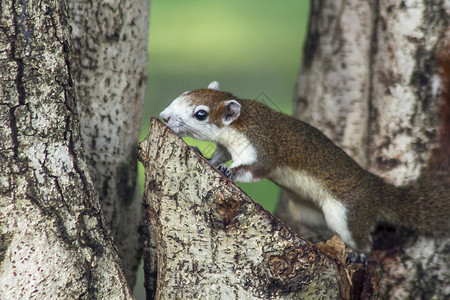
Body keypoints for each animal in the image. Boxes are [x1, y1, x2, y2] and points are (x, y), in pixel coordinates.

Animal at [160, 81, 450, 252]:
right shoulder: (224, 145)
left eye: (201, 114)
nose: (164, 116)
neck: (240, 124)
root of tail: (379, 191)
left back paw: (358, 254)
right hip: (307, 212)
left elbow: (259, 168)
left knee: (363, 240)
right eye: (183, 94)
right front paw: (204, 156)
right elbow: (218, 155)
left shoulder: (261, 143)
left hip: (347, 212)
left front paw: (229, 171)